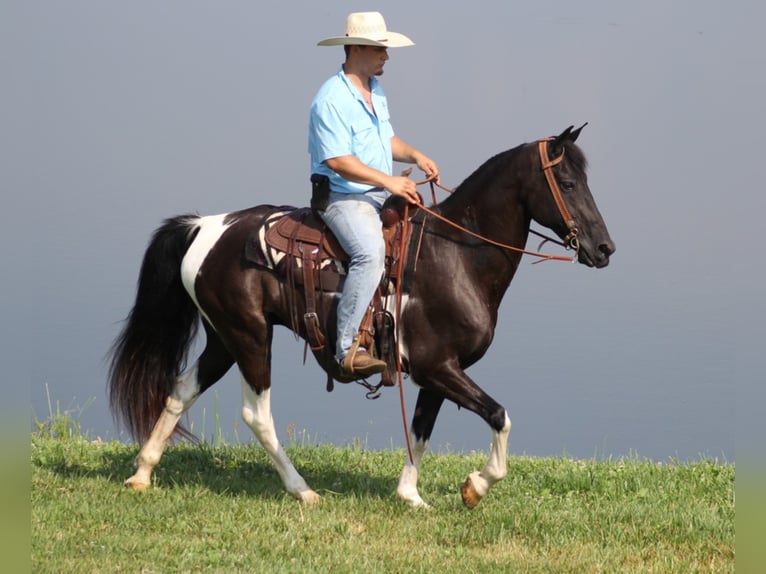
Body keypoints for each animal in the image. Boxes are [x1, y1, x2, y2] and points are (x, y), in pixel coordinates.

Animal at [108, 125, 616, 508]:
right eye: (568, 184)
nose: (604, 248)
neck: (456, 257)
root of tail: (204, 227)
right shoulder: (437, 367)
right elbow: (498, 415)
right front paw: (476, 485)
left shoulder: (438, 372)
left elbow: (421, 430)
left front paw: (411, 496)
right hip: (250, 336)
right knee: (257, 414)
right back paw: (302, 490)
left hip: (224, 338)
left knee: (181, 389)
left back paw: (143, 473)